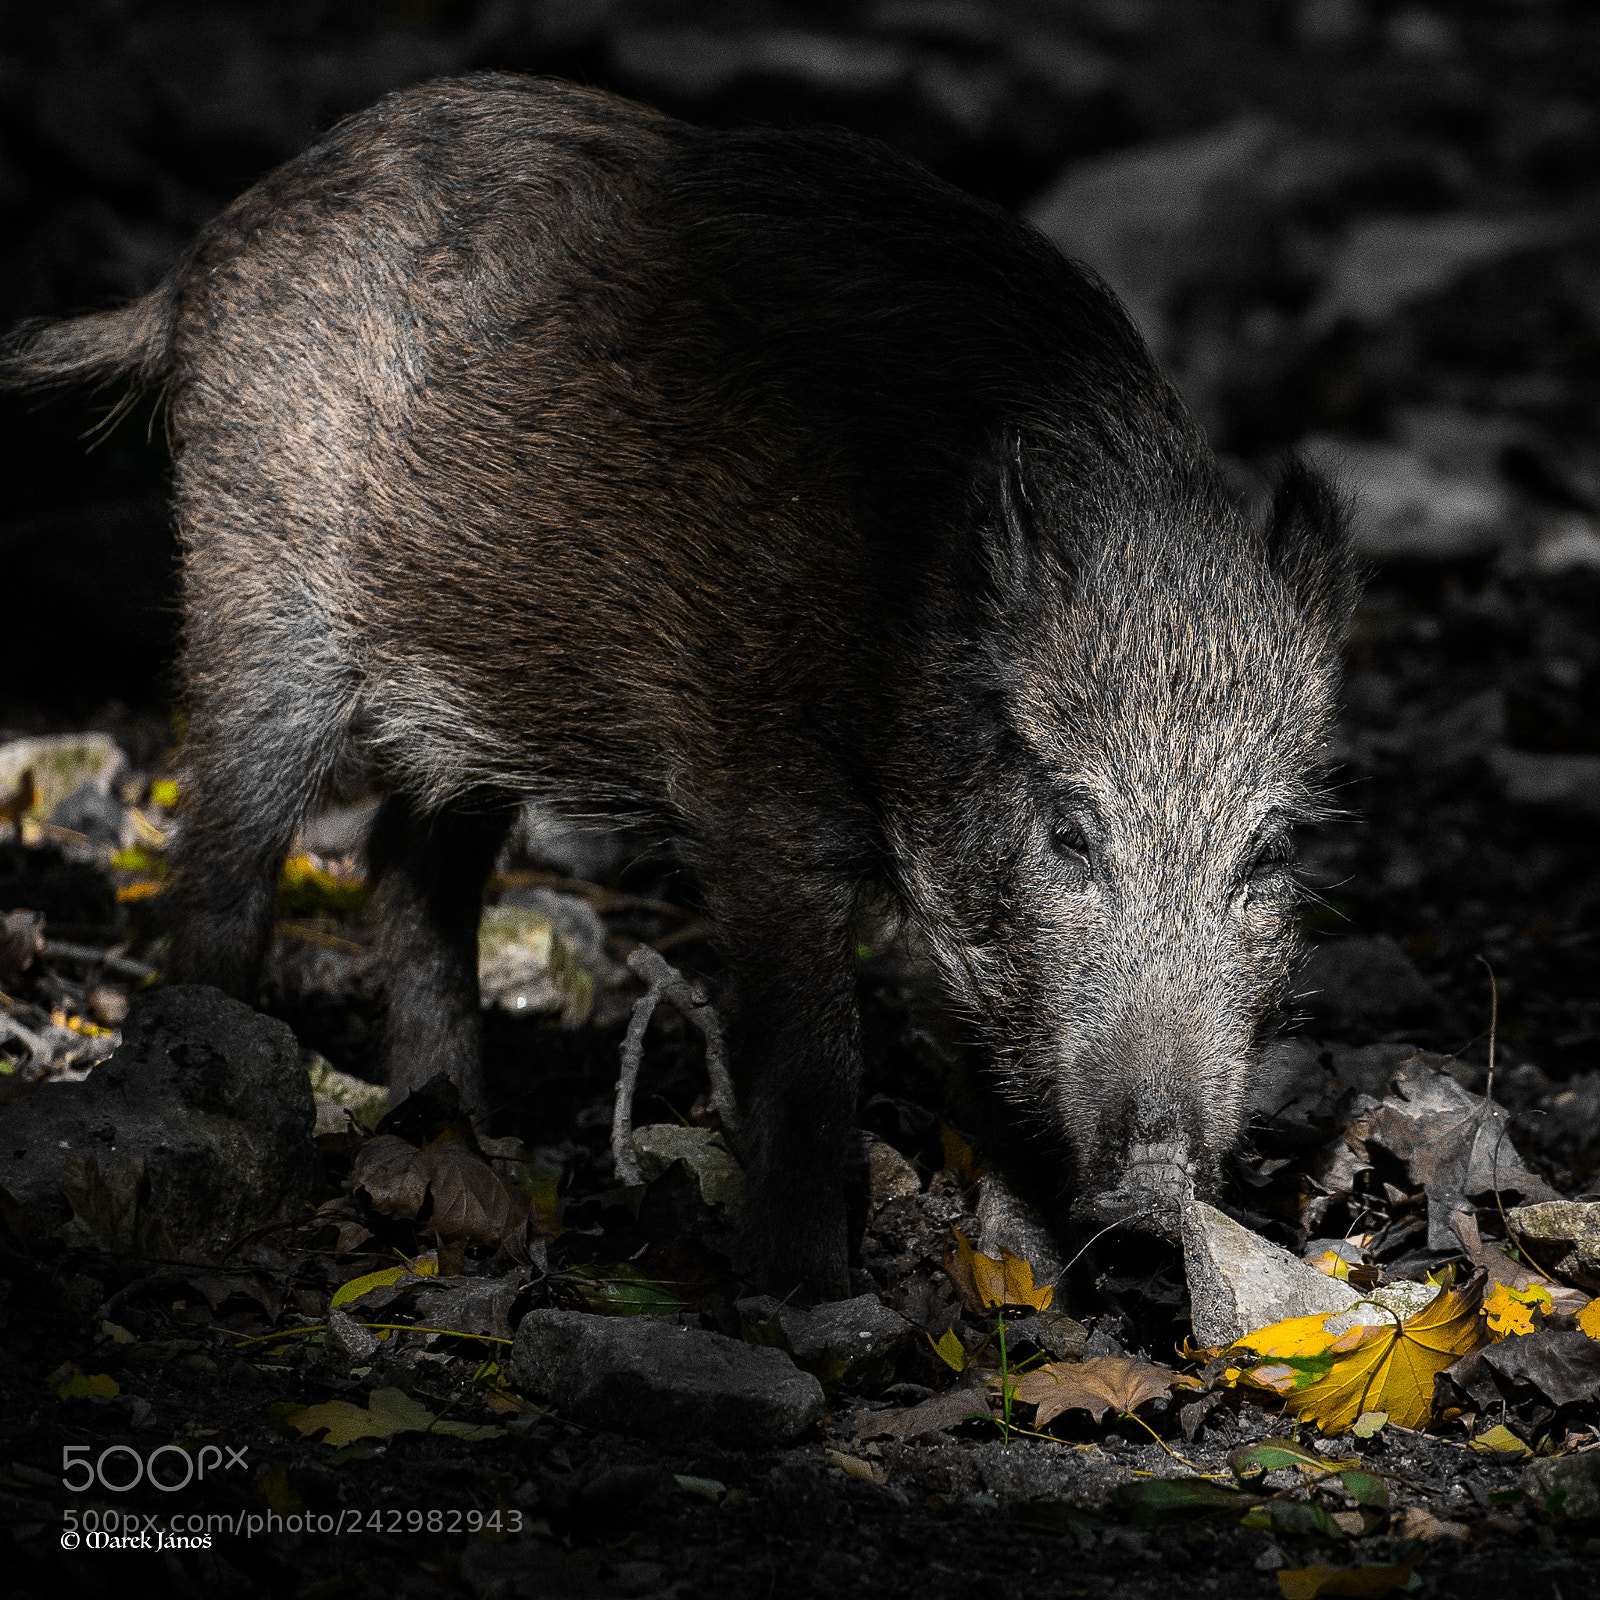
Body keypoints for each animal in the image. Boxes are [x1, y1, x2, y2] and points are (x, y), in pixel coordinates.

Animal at [1, 73, 1358, 1300]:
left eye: (1269, 851)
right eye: (1071, 829)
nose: (1156, 1187)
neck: (905, 610)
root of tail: (194, 270)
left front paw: (1027, 1286)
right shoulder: (746, 778)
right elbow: (813, 1044)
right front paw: (798, 1291)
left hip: (474, 698)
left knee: (409, 867)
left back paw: (462, 1127)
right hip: (255, 594)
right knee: (222, 860)